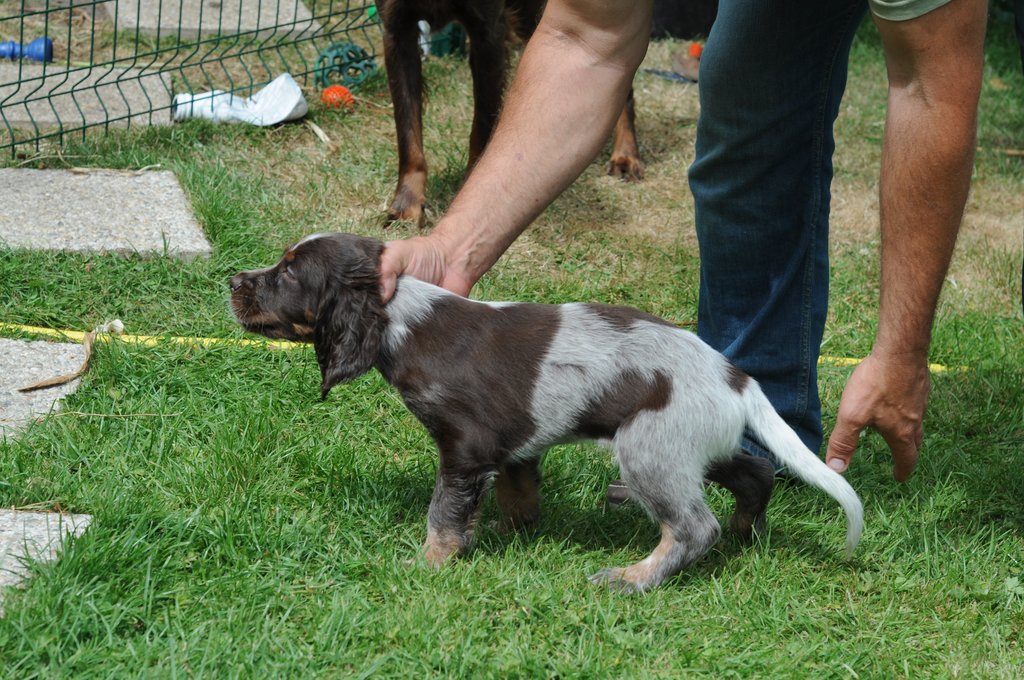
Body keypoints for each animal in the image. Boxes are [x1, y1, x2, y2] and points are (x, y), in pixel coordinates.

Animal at [228, 232, 860, 589]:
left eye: (288, 272)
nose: (232, 280)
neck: (403, 319)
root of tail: (736, 376)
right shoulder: (510, 446)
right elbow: (516, 492)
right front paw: (508, 531)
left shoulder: (465, 447)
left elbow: (443, 514)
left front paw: (428, 566)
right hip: (692, 442)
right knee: (755, 471)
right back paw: (745, 533)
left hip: (648, 448)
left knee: (691, 526)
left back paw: (633, 578)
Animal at [376, 0, 647, 228]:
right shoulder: (396, 31)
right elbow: (407, 134)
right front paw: (407, 207)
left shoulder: (488, 33)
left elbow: (482, 123)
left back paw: (625, 155)